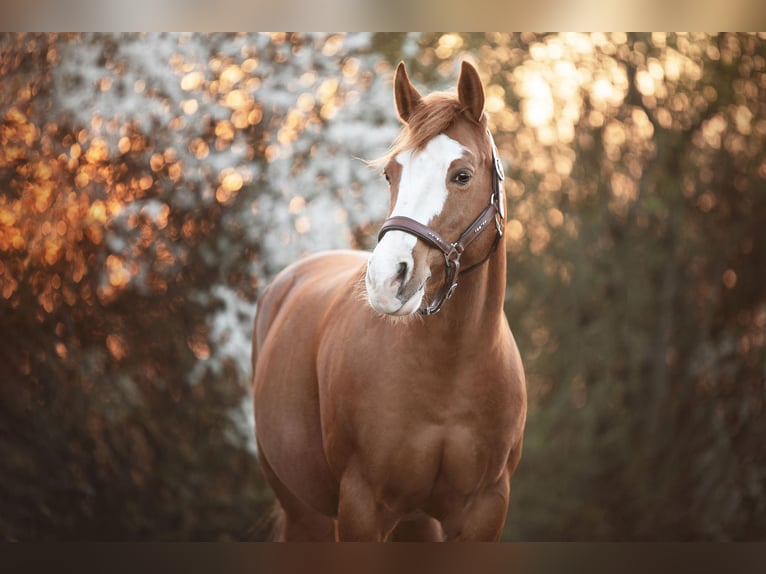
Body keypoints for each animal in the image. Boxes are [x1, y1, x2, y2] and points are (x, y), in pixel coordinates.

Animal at [254, 60, 528, 544]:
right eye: (390, 174)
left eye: (461, 175)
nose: (386, 279)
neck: (450, 370)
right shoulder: (362, 507)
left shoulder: (484, 510)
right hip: (304, 512)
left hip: (416, 524)